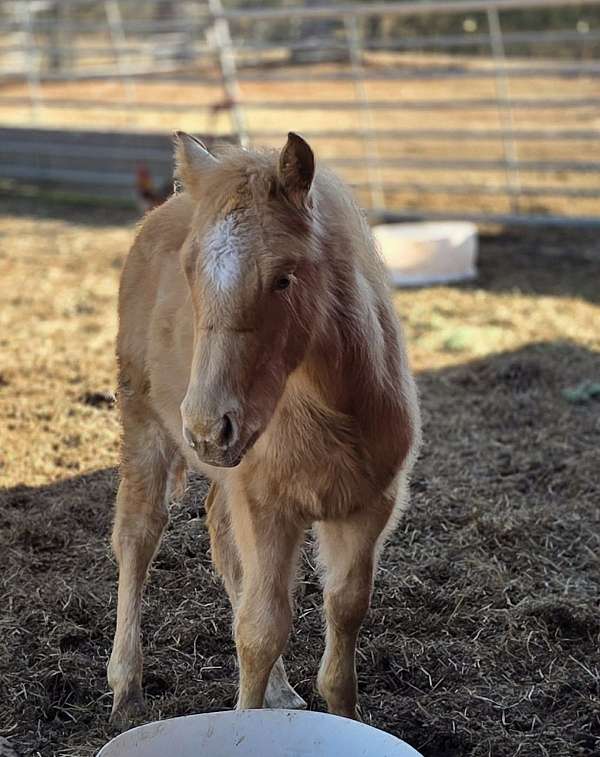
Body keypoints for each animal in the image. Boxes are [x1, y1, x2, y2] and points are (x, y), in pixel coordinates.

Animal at [107, 131, 421, 727]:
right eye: (189, 270)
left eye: (283, 278)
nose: (207, 429)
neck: (331, 413)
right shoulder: (267, 506)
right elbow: (261, 629)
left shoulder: (367, 507)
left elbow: (345, 610)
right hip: (144, 426)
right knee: (138, 535)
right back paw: (125, 688)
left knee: (219, 532)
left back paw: (280, 691)